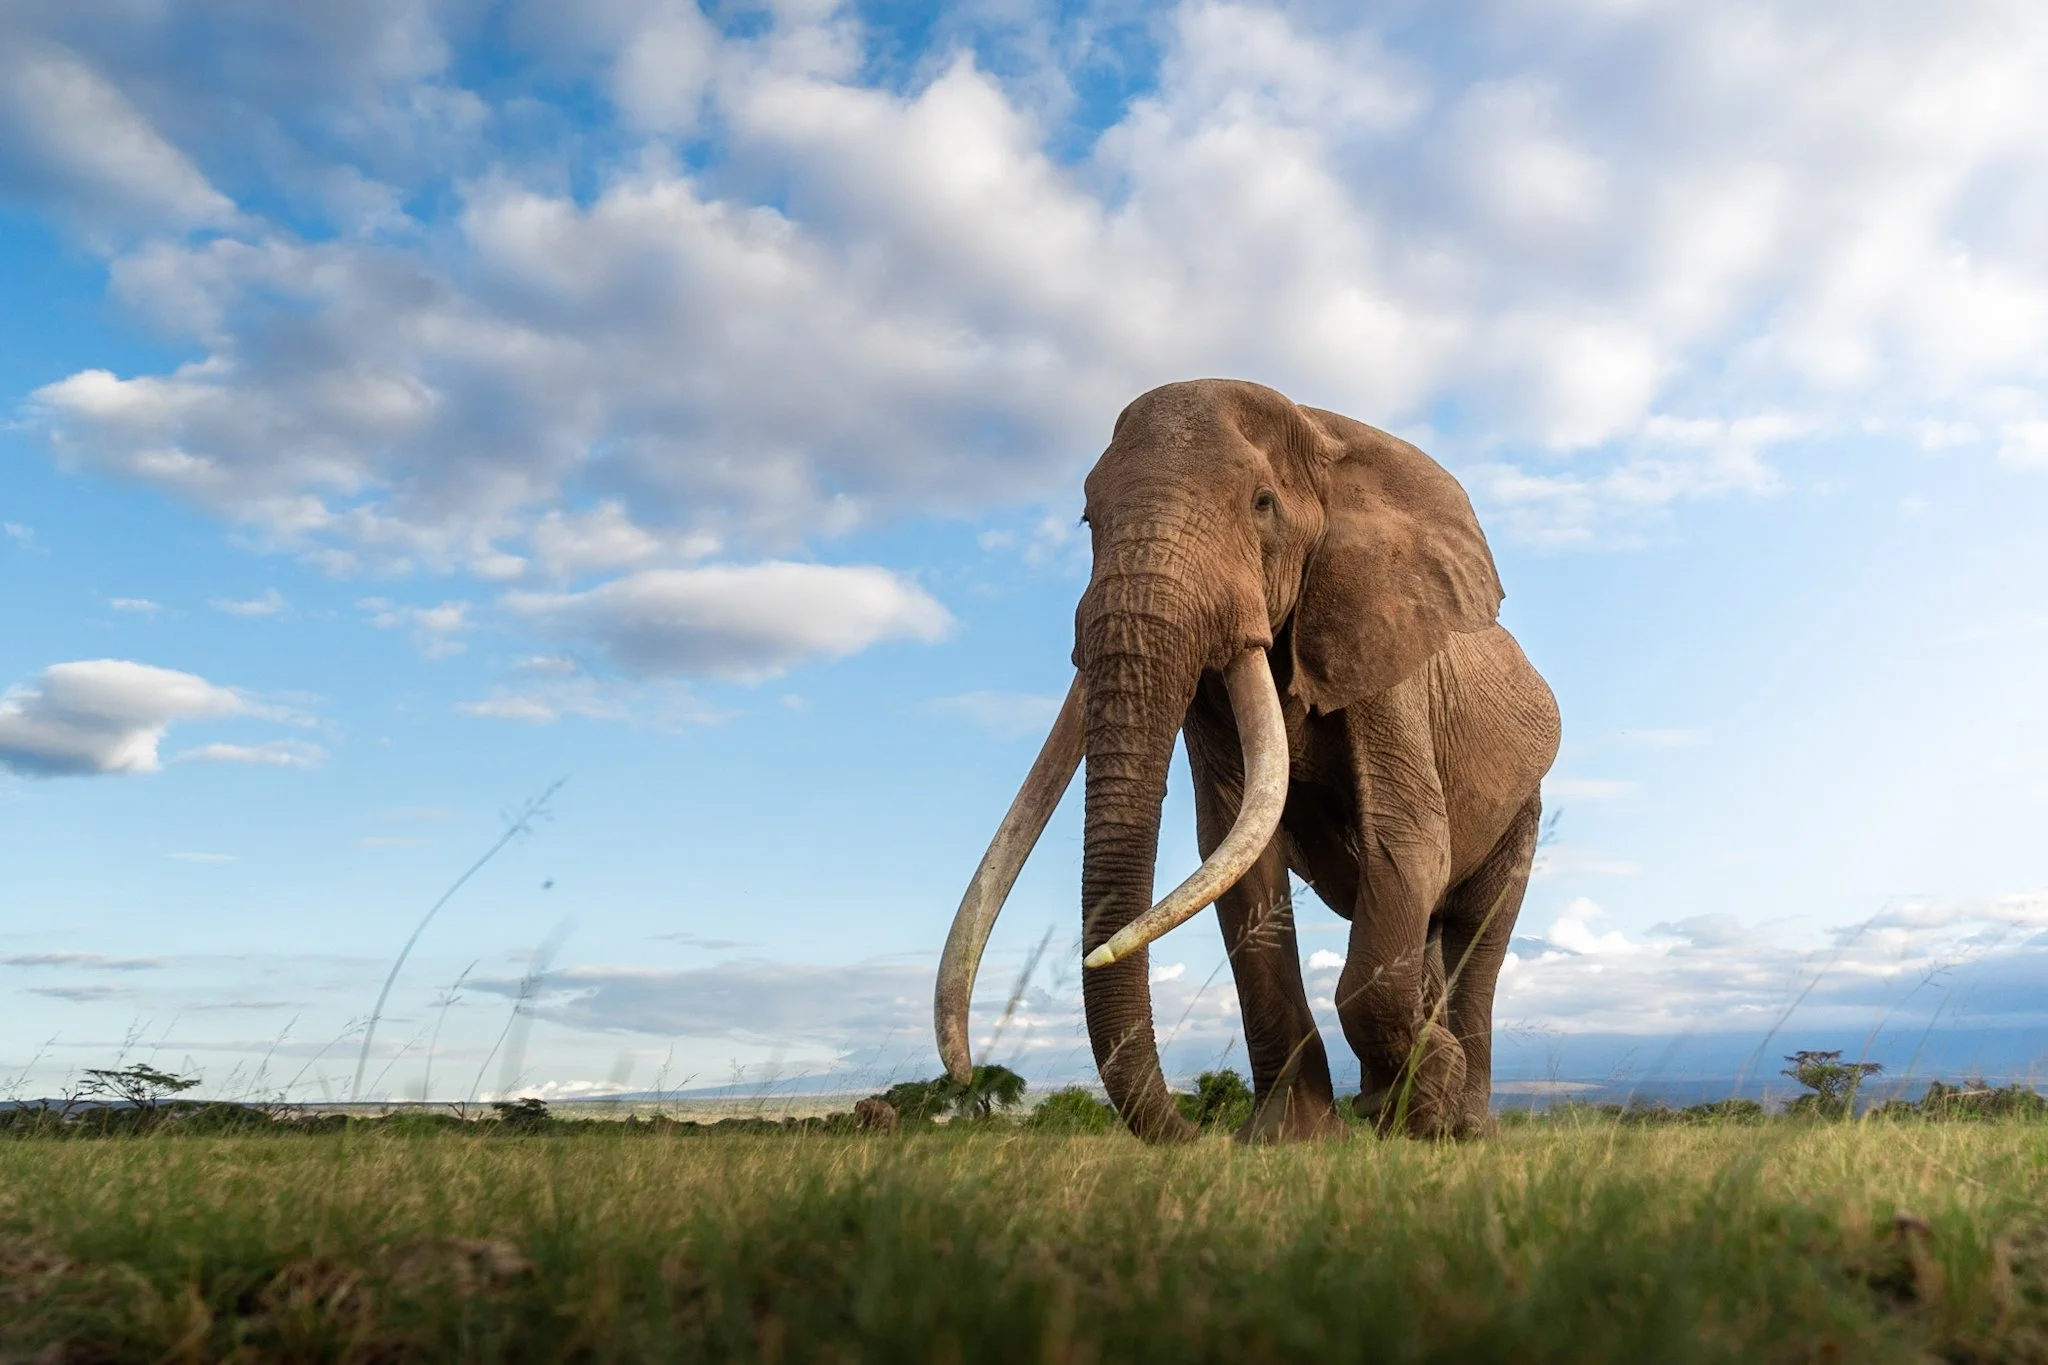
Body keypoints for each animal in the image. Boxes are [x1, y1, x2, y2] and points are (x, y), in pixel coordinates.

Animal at [935, 379, 1559, 1142]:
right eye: (1087, 519)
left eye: (1262, 504)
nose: (1193, 1134)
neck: (1326, 436)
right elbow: (1238, 856)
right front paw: (1292, 1138)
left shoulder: (1389, 658)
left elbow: (1406, 840)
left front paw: (1424, 1088)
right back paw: (1404, 1116)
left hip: (1525, 807)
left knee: (1477, 930)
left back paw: (1457, 1124)